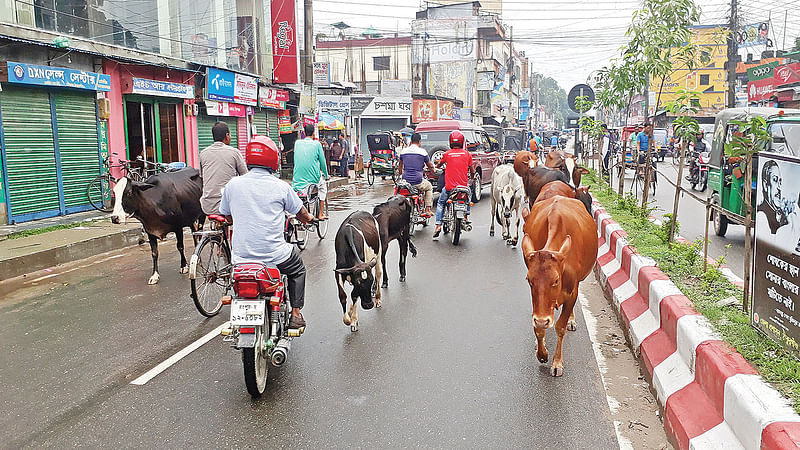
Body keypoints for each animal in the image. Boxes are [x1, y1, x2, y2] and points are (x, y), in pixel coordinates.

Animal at [520, 197, 596, 376]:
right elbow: (538, 328)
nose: (543, 320)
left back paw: (571, 321)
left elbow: (560, 327)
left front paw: (557, 363)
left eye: (555, 280)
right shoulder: (538, 305)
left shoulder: (572, 293)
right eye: (529, 280)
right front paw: (542, 354)